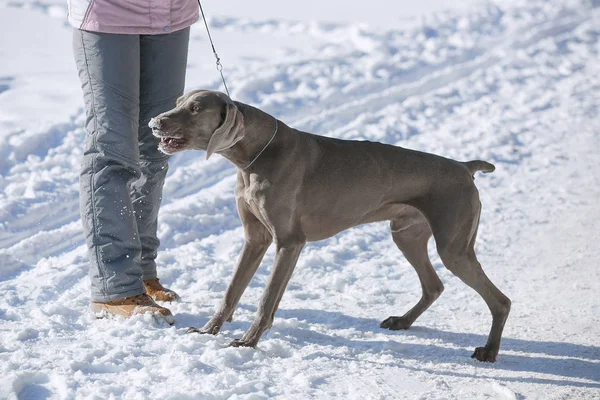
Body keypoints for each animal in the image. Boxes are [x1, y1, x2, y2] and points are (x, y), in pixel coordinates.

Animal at [149, 90, 510, 362]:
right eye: (179, 101)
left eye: (196, 109)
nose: (153, 122)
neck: (256, 155)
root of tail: (464, 167)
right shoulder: (256, 239)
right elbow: (232, 291)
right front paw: (208, 331)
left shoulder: (289, 242)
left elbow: (266, 299)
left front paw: (247, 342)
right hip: (406, 235)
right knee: (434, 285)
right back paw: (403, 321)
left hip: (453, 246)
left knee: (500, 300)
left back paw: (489, 351)